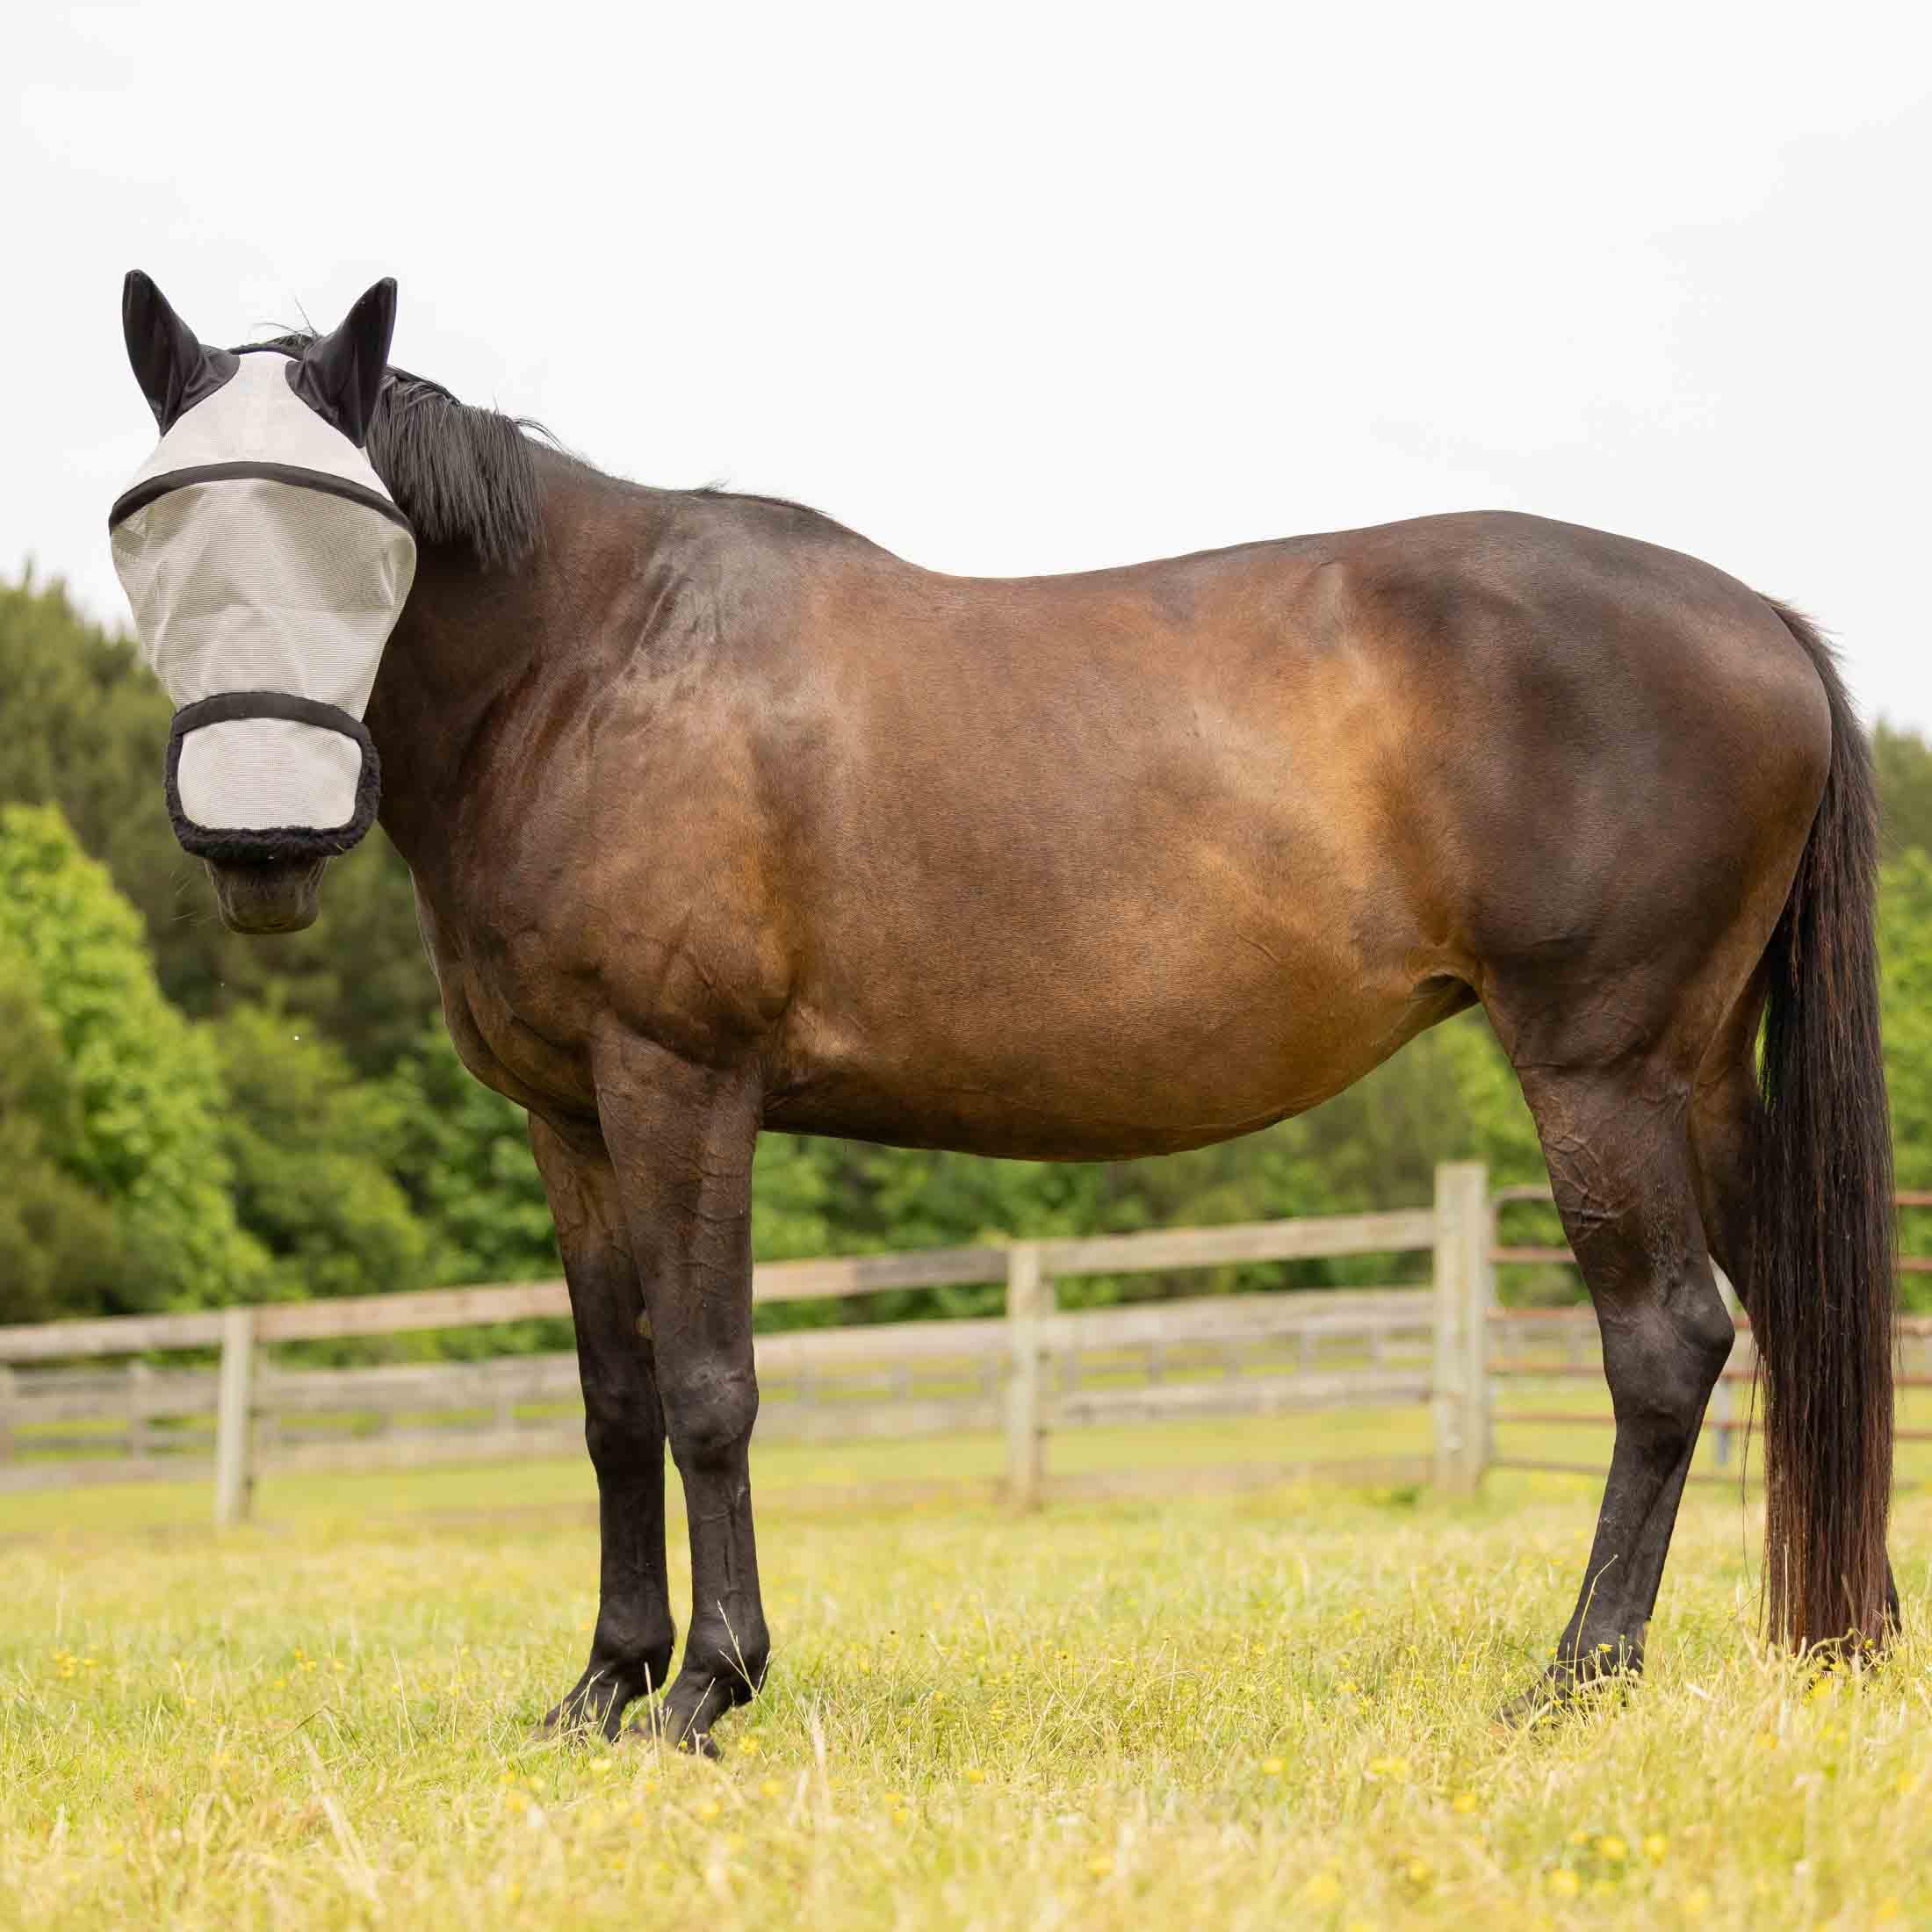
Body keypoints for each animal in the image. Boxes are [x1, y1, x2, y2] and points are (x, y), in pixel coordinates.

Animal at [109, 272, 1898, 1752]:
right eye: (148, 527)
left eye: (356, 528)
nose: (259, 831)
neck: (592, 667)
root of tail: (1764, 622)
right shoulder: (568, 1115)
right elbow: (616, 1401)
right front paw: (603, 1689)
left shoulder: (680, 1082)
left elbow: (707, 1384)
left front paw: (708, 1691)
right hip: (1699, 1082)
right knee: (1801, 1319)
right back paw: (1845, 1644)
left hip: (1600, 1070)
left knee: (1667, 1344)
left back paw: (1582, 1672)